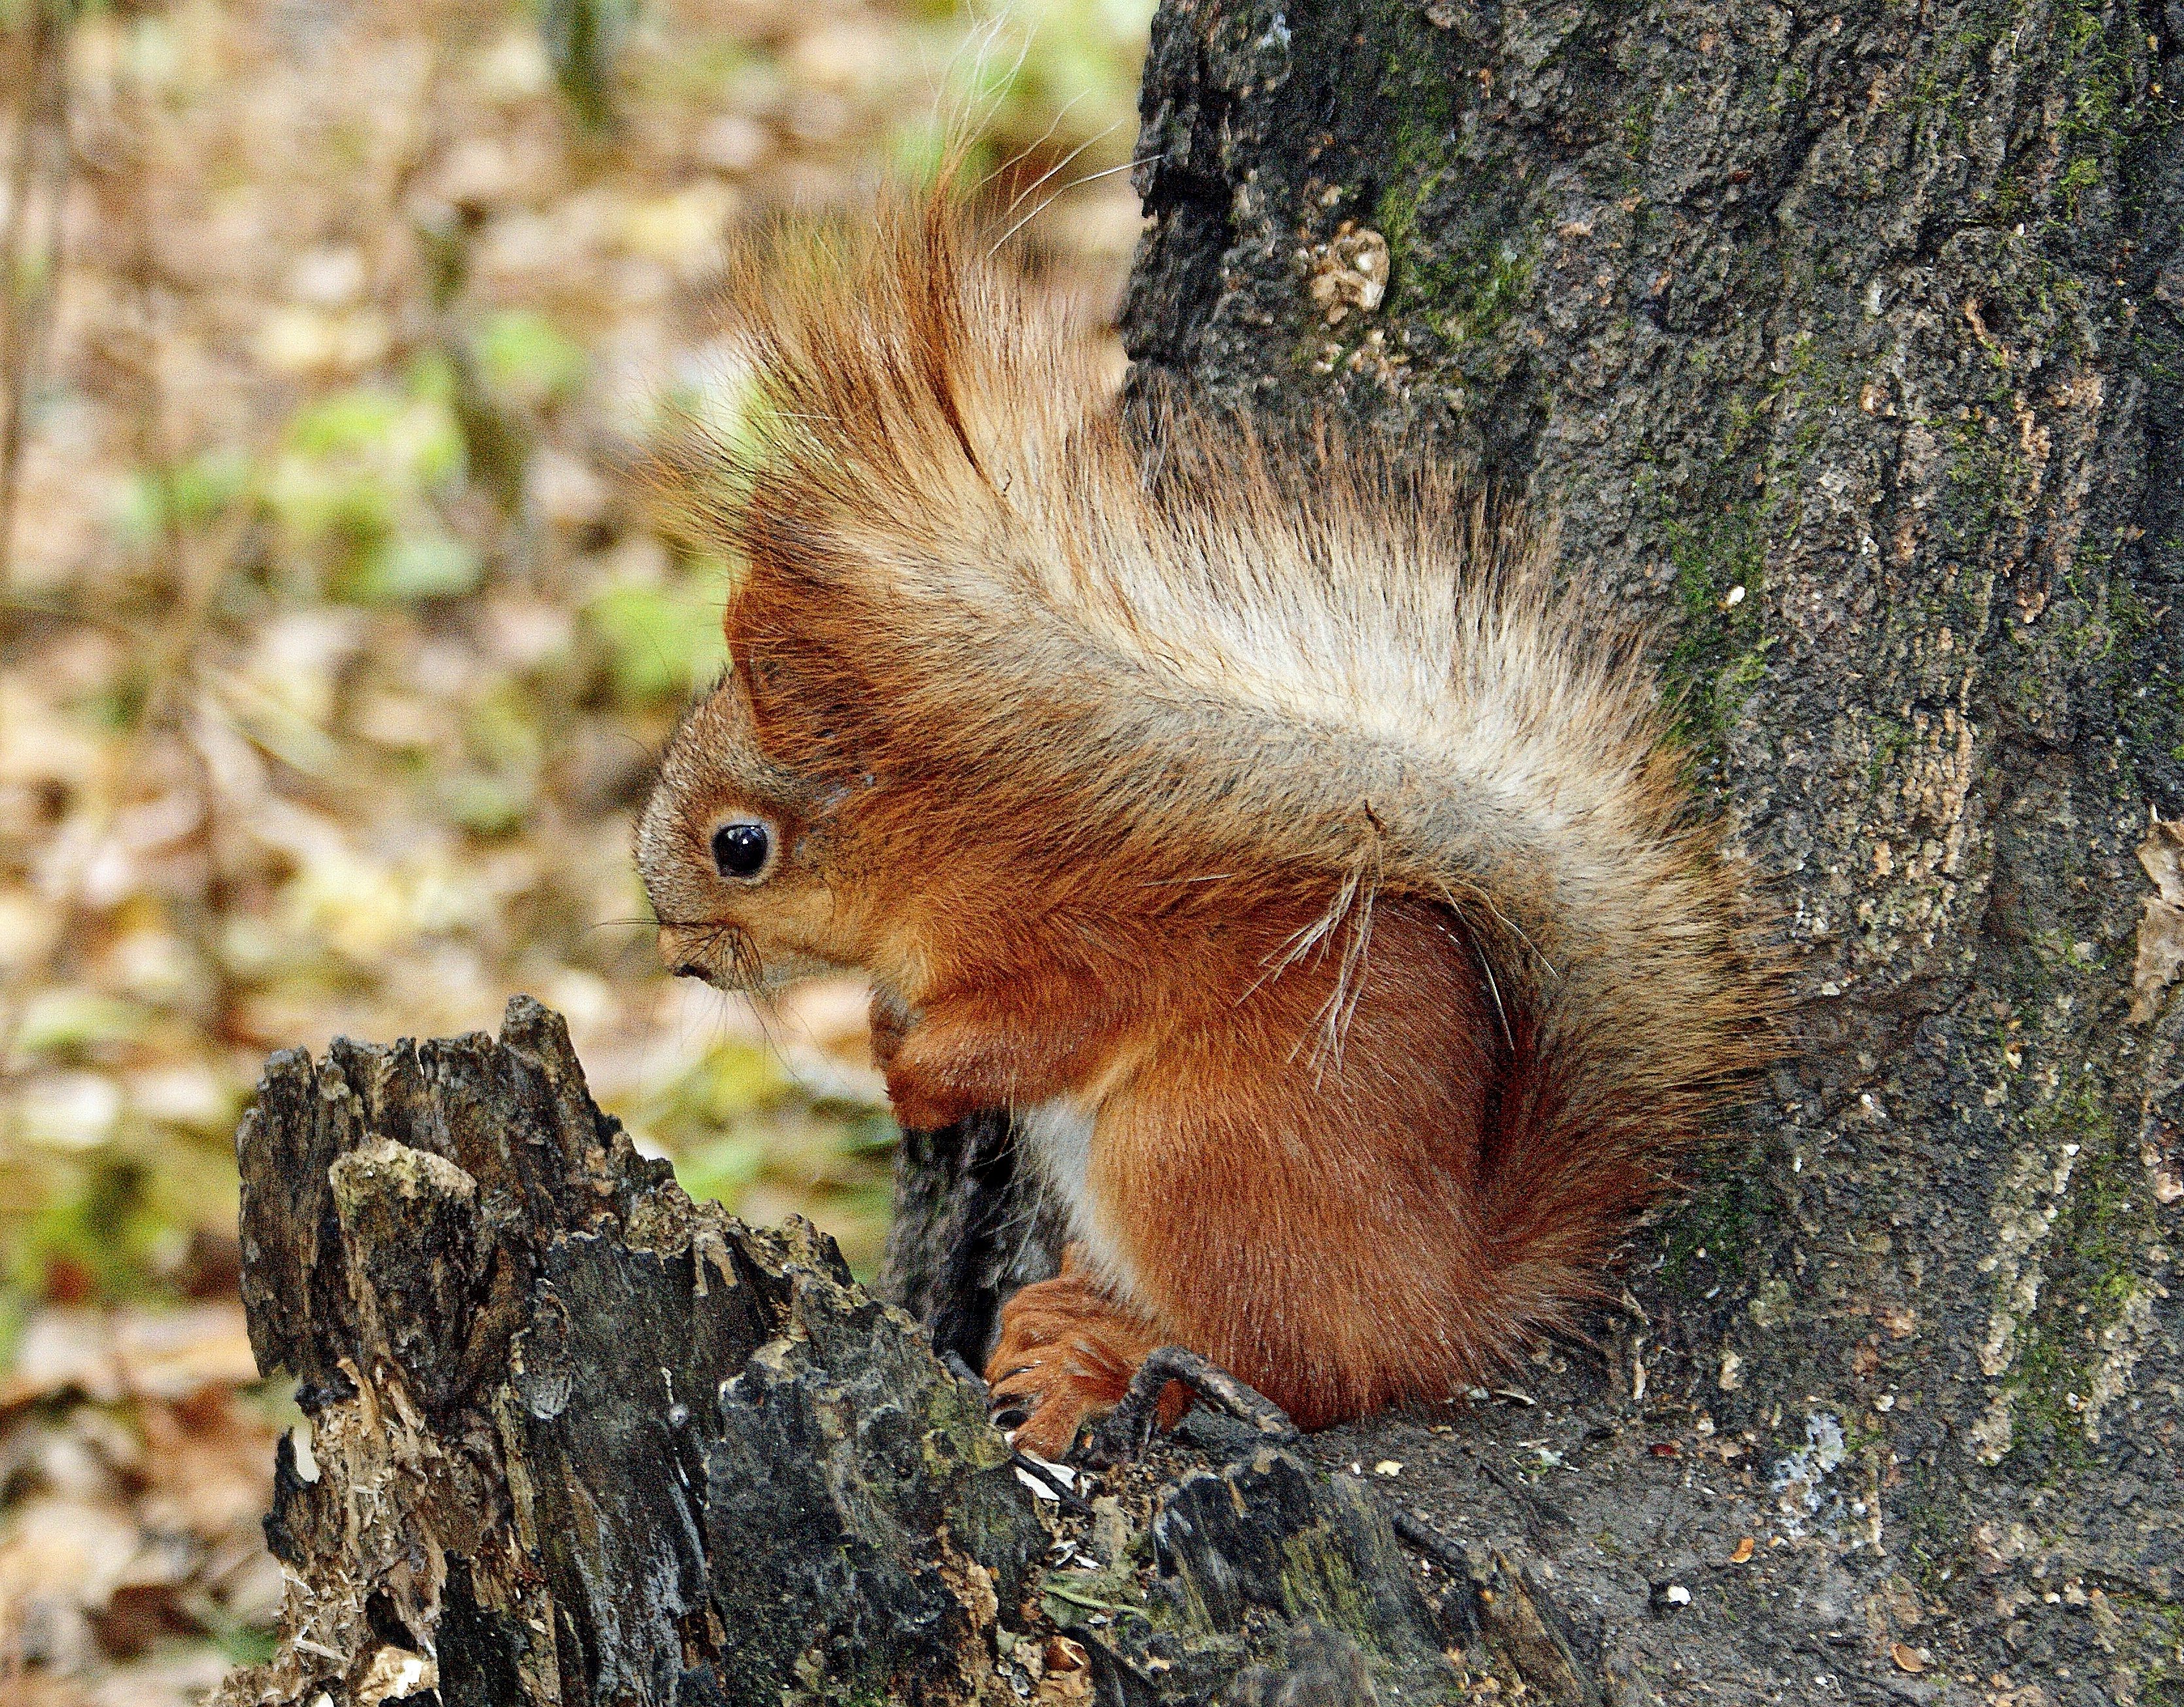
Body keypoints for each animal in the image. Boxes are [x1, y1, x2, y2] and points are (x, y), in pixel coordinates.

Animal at [633, 196, 1773, 1451]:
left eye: (741, 847)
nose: (677, 958)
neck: (946, 840)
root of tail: (1446, 1308)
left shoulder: (1073, 937)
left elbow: (1035, 1031)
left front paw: (913, 1075)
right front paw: (886, 1032)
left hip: (1190, 1150)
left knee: (1300, 1370)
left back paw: (1108, 1362)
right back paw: (1065, 1317)